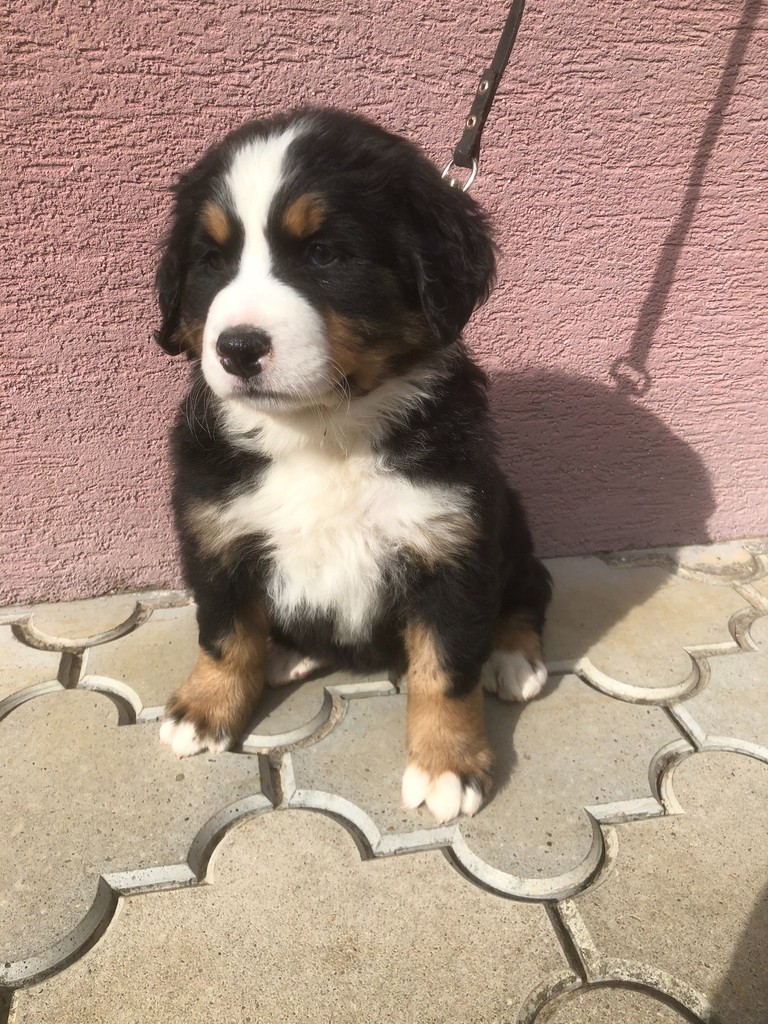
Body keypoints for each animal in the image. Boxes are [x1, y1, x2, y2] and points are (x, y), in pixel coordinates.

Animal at [154, 108, 552, 823]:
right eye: (211, 261)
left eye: (323, 255)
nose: (237, 348)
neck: (322, 432)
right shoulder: (215, 527)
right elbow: (224, 633)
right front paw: (203, 708)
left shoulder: (452, 545)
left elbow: (446, 669)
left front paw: (448, 764)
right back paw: (287, 652)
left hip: (510, 525)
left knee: (530, 591)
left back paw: (512, 657)